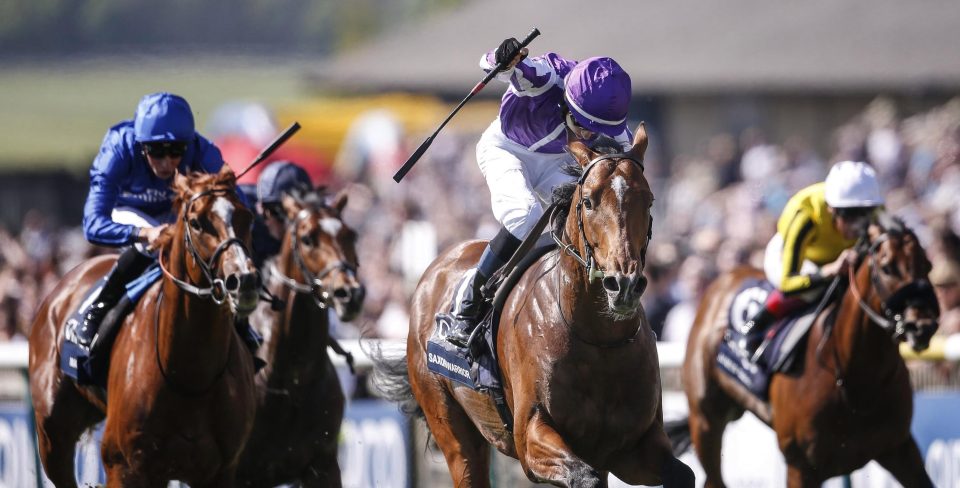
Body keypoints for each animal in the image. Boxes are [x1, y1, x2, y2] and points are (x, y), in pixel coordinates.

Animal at [31, 166, 260, 486]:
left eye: (247, 217)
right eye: (196, 222)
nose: (245, 281)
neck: (190, 377)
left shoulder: (220, 470)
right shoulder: (124, 467)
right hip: (53, 435)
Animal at [374, 127, 688, 488]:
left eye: (648, 200)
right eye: (588, 201)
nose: (623, 284)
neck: (597, 339)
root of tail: (433, 272)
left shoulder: (631, 447)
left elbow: (682, 472)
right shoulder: (531, 437)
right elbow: (584, 477)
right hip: (449, 422)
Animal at [684, 218, 936, 488]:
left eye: (927, 265)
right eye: (887, 267)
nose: (922, 326)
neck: (856, 381)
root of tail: (723, 281)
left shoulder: (899, 448)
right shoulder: (801, 466)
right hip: (705, 419)